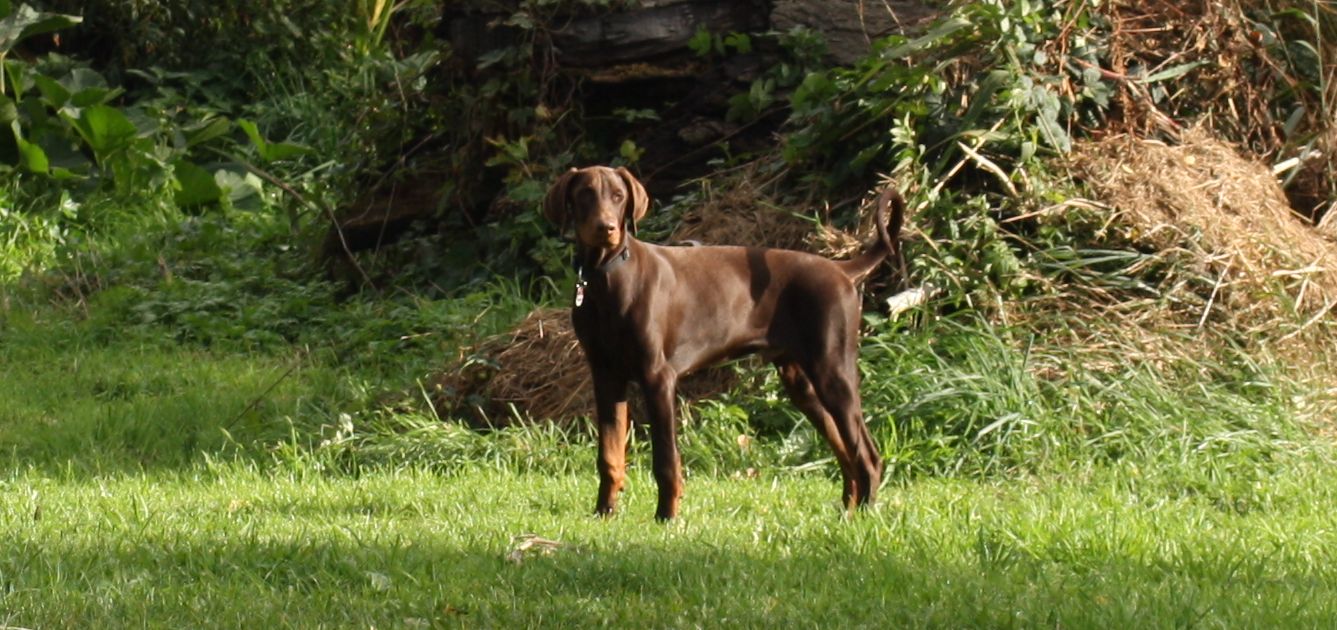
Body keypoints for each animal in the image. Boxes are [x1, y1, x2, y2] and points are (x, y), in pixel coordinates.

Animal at [545, 165, 909, 521]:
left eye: (619, 196)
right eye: (585, 194)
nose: (606, 228)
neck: (607, 275)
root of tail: (840, 270)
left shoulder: (658, 377)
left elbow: (665, 459)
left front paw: (667, 516)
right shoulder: (606, 376)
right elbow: (609, 456)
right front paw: (604, 512)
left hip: (833, 371)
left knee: (867, 454)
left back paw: (865, 513)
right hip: (801, 383)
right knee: (845, 451)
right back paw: (847, 511)